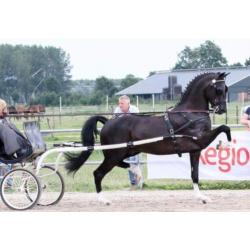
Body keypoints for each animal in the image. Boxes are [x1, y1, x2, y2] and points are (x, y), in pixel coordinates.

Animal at [65, 71, 231, 204]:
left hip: (127, 151)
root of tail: (108, 122)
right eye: (218, 89)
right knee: (98, 173)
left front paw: (202, 197)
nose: (222, 109)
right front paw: (225, 145)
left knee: (122, 165)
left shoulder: (195, 150)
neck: (190, 114)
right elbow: (224, 128)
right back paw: (103, 199)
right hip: (114, 154)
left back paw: (136, 173)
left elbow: (194, 174)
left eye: (226, 89)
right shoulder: (200, 140)